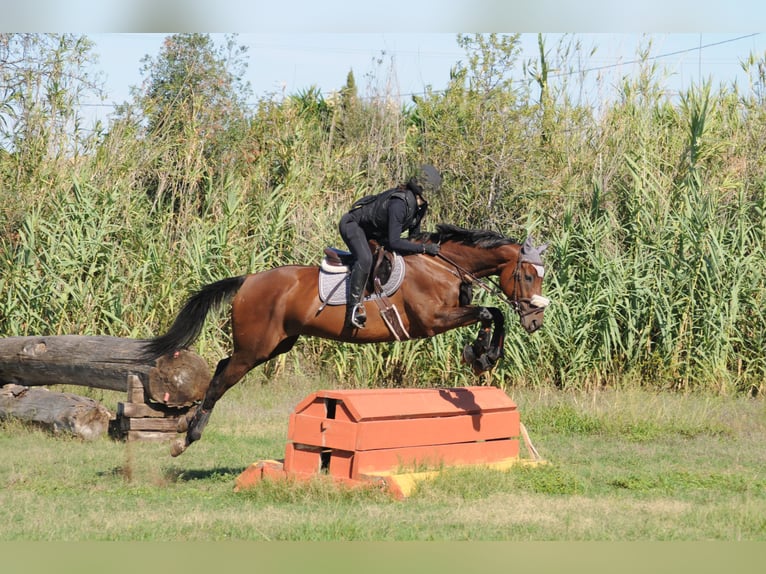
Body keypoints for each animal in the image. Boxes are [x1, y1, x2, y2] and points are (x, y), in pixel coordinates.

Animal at [142, 223, 552, 456]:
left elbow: (491, 314)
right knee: (222, 379)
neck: (441, 264)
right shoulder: (432, 321)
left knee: (223, 367)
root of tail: (248, 280)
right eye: (528, 276)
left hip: (273, 345)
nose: (535, 321)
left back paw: (187, 427)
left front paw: (481, 353)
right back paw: (185, 439)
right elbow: (489, 312)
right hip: (255, 347)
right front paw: (483, 353)